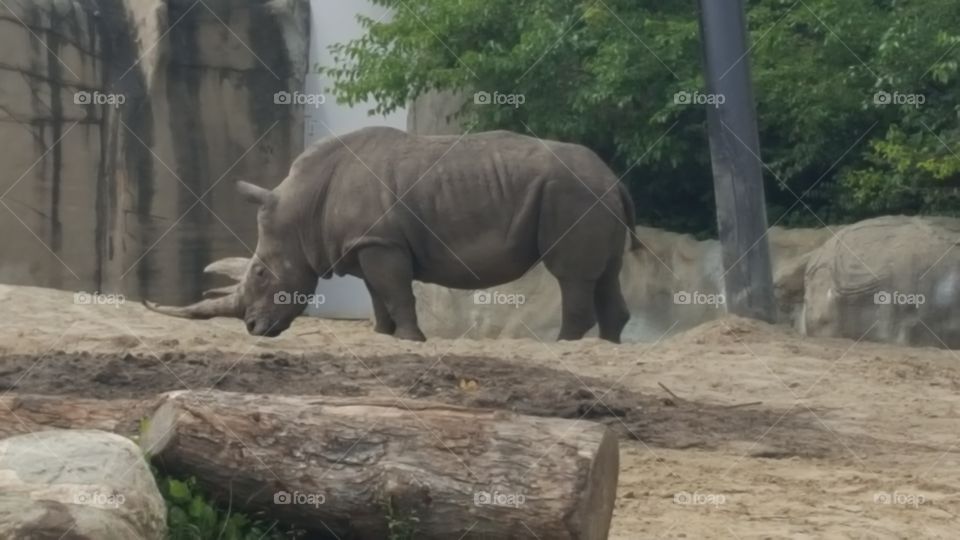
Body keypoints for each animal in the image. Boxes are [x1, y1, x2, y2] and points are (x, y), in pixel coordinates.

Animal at [144, 126, 640, 342]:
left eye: (262, 275)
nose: (252, 328)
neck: (302, 210)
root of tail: (614, 179)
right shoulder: (365, 244)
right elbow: (378, 295)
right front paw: (386, 336)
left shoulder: (381, 243)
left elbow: (398, 292)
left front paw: (411, 340)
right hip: (591, 196)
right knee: (607, 272)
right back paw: (606, 345)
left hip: (572, 195)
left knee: (571, 275)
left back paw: (565, 346)